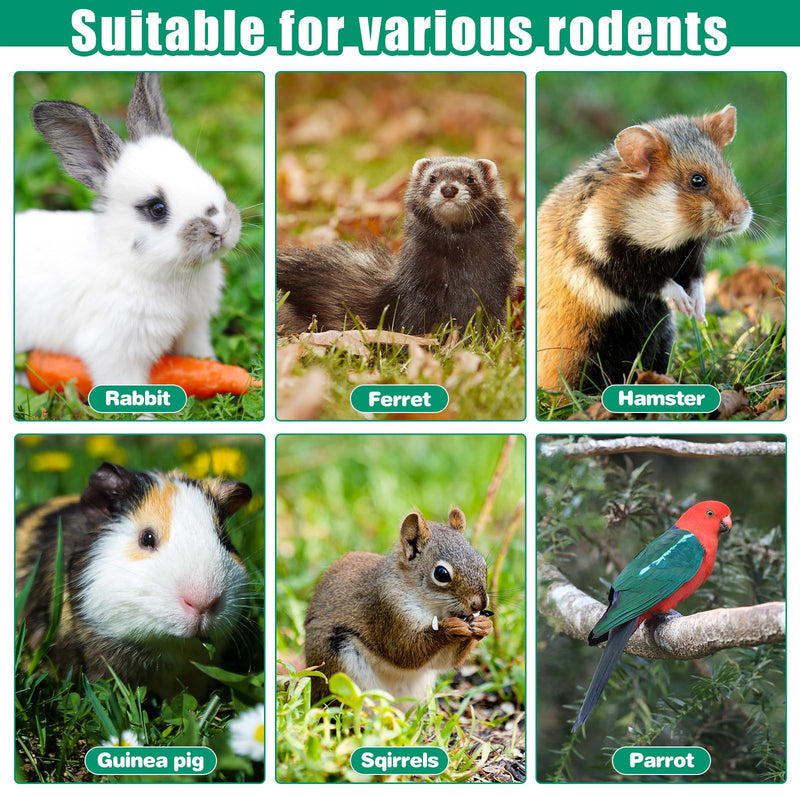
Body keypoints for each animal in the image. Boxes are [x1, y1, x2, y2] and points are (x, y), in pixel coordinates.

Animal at [15, 73, 242, 386]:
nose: (220, 228)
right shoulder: (117, 353)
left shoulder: (194, 328)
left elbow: (199, 354)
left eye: (205, 175)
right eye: (157, 208)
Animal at [277, 156, 518, 334]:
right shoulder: (417, 288)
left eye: (471, 178)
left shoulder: (493, 287)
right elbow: (413, 323)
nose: (449, 189)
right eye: (432, 178)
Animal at [537, 105, 752, 391]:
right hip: (581, 348)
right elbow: (650, 280)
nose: (742, 217)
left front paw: (698, 311)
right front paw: (683, 304)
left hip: (662, 337)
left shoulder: (691, 256)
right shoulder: (605, 257)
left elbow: (696, 280)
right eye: (697, 180)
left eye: (729, 171)